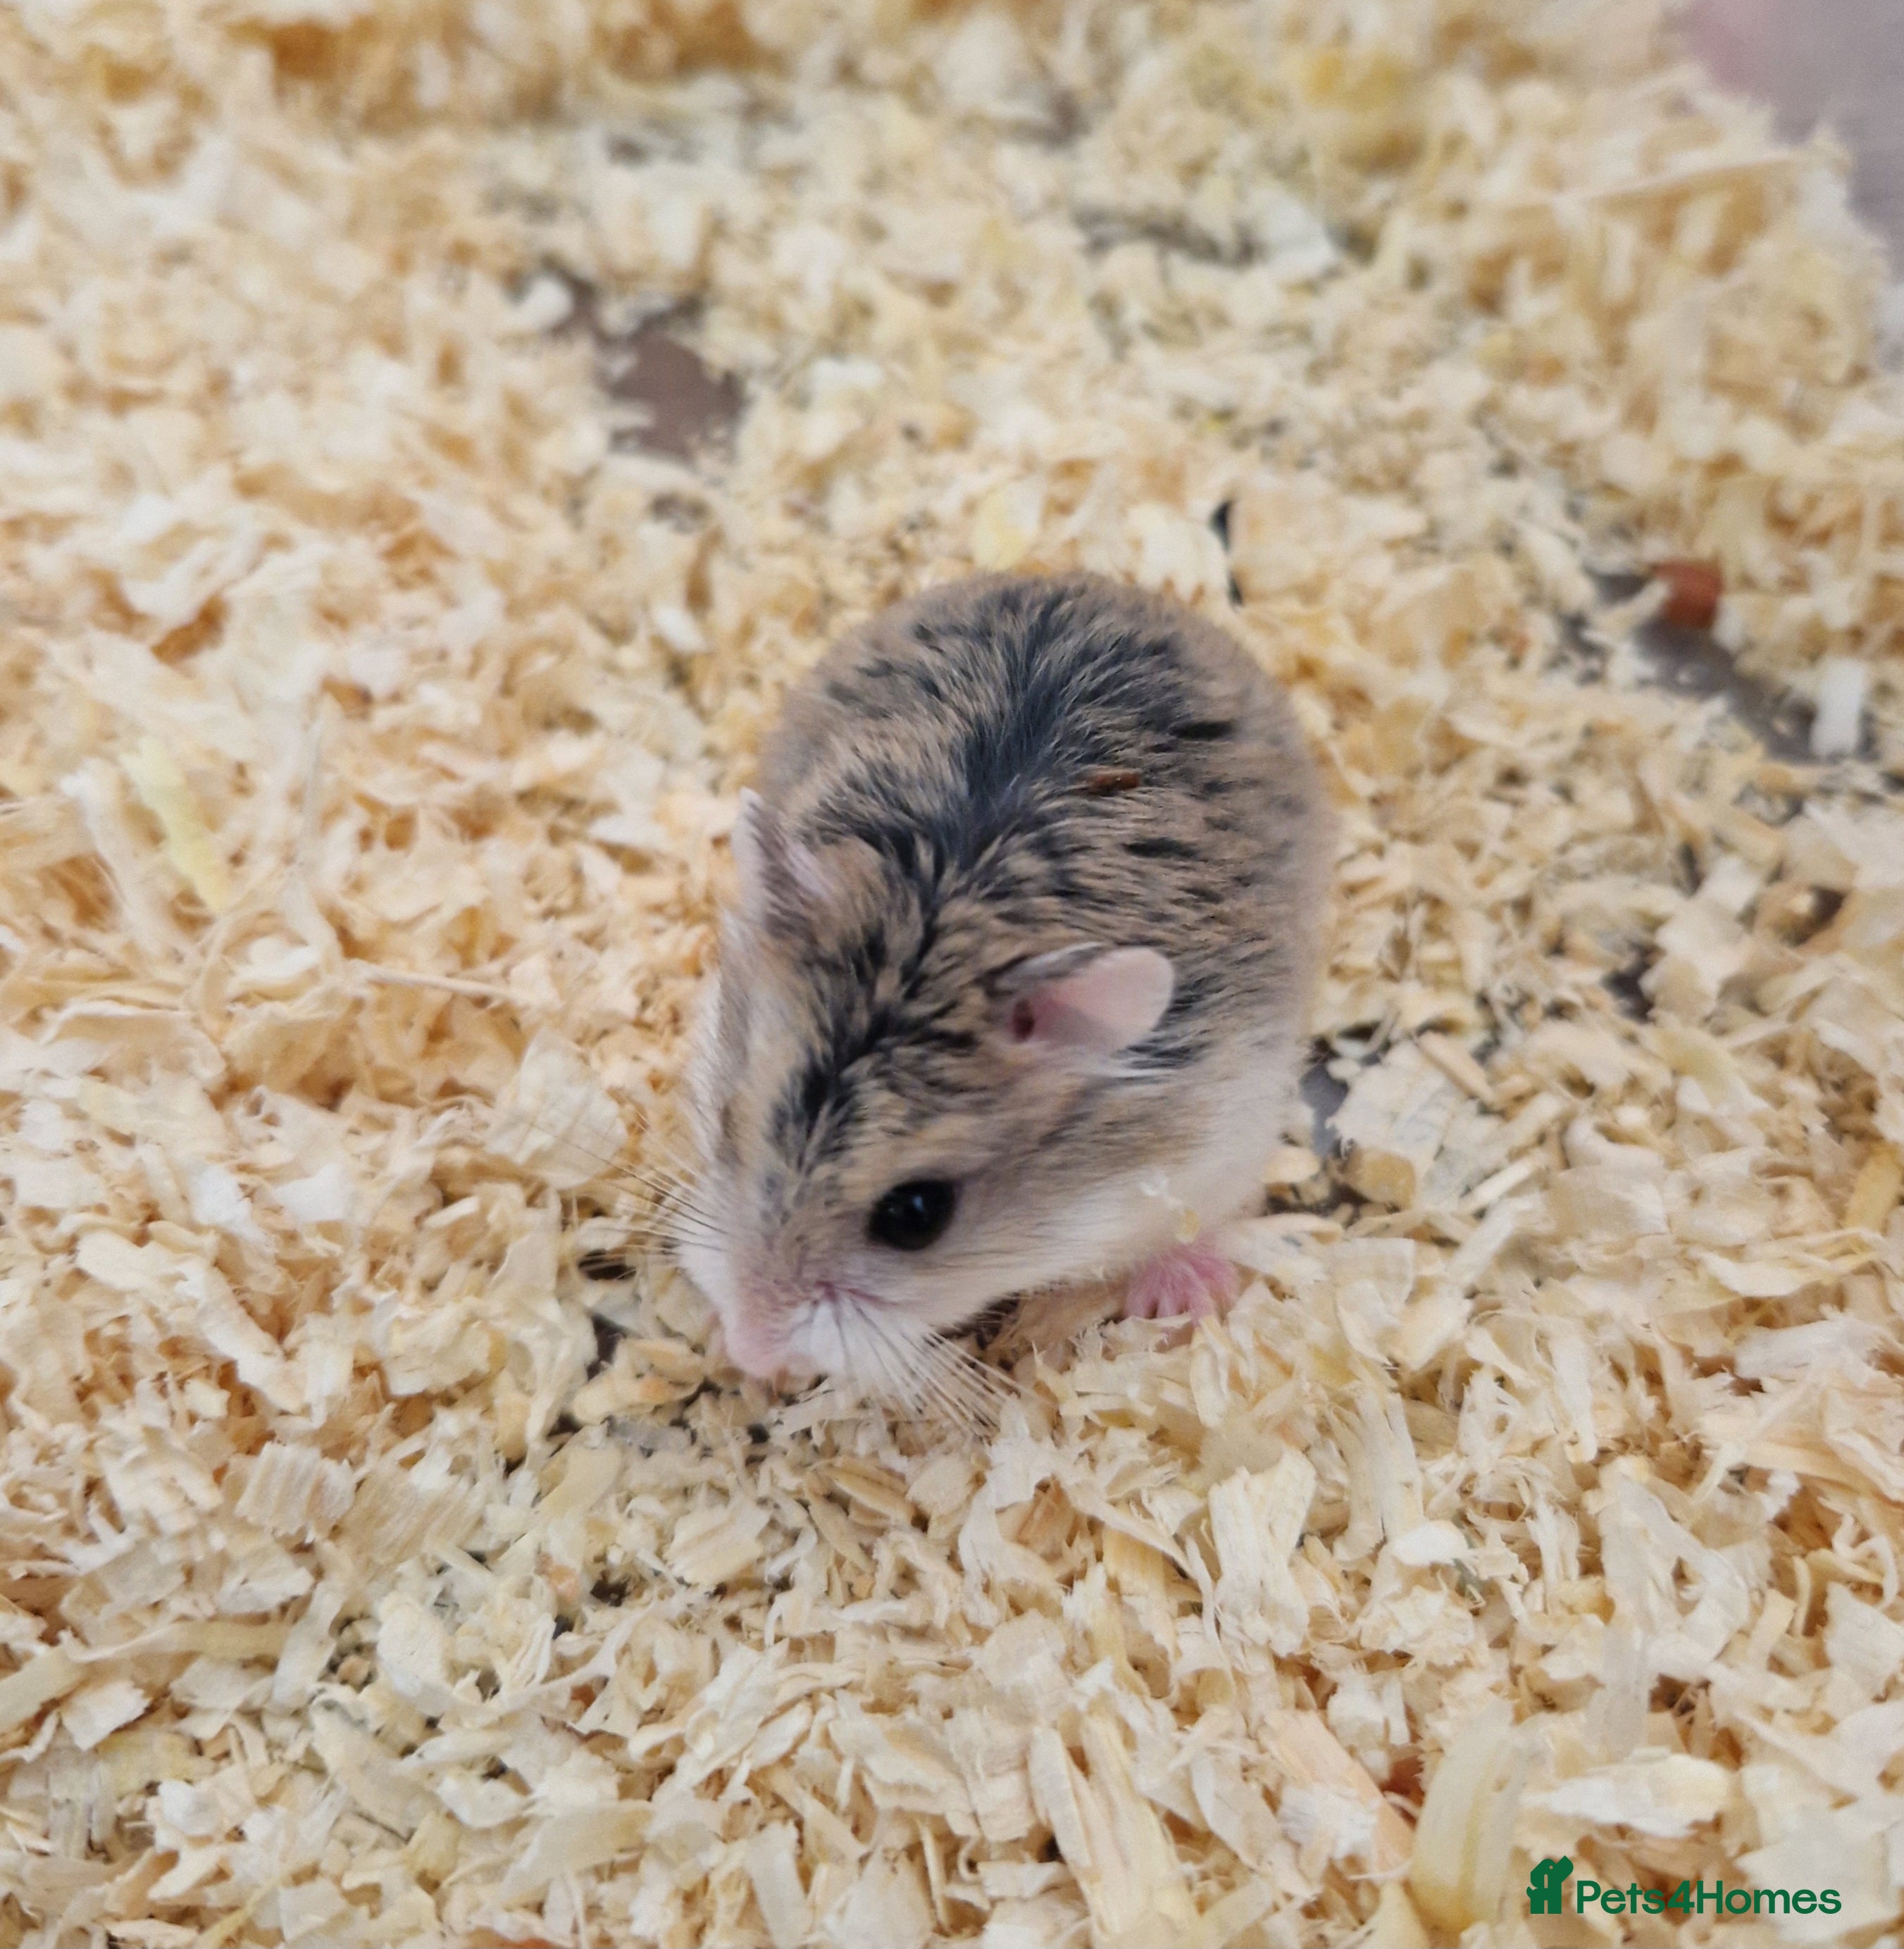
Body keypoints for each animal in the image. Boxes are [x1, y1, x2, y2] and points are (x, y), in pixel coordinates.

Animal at [680, 571, 1332, 1386]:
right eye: (727, 1120)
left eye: (916, 1216)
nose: (750, 1348)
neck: (947, 920)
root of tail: (1089, 584)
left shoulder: (1222, 1139)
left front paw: (1183, 1304)